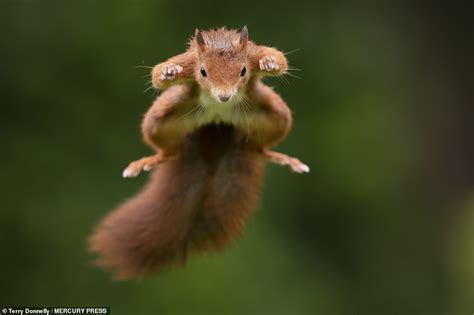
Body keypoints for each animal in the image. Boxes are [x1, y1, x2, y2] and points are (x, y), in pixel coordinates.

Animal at [88, 26, 312, 278]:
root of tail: (217, 124)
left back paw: (279, 156)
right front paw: (169, 71)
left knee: (258, 148)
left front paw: (269, 63)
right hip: (157, 121)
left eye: (244, 71)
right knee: (171, 151)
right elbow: (156, 75)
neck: (220, 43)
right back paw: (150, 160)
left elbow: (280, 59)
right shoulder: (189, 61)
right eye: (203, 72)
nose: (224, 96)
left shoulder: (252, 53)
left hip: (278, 117)